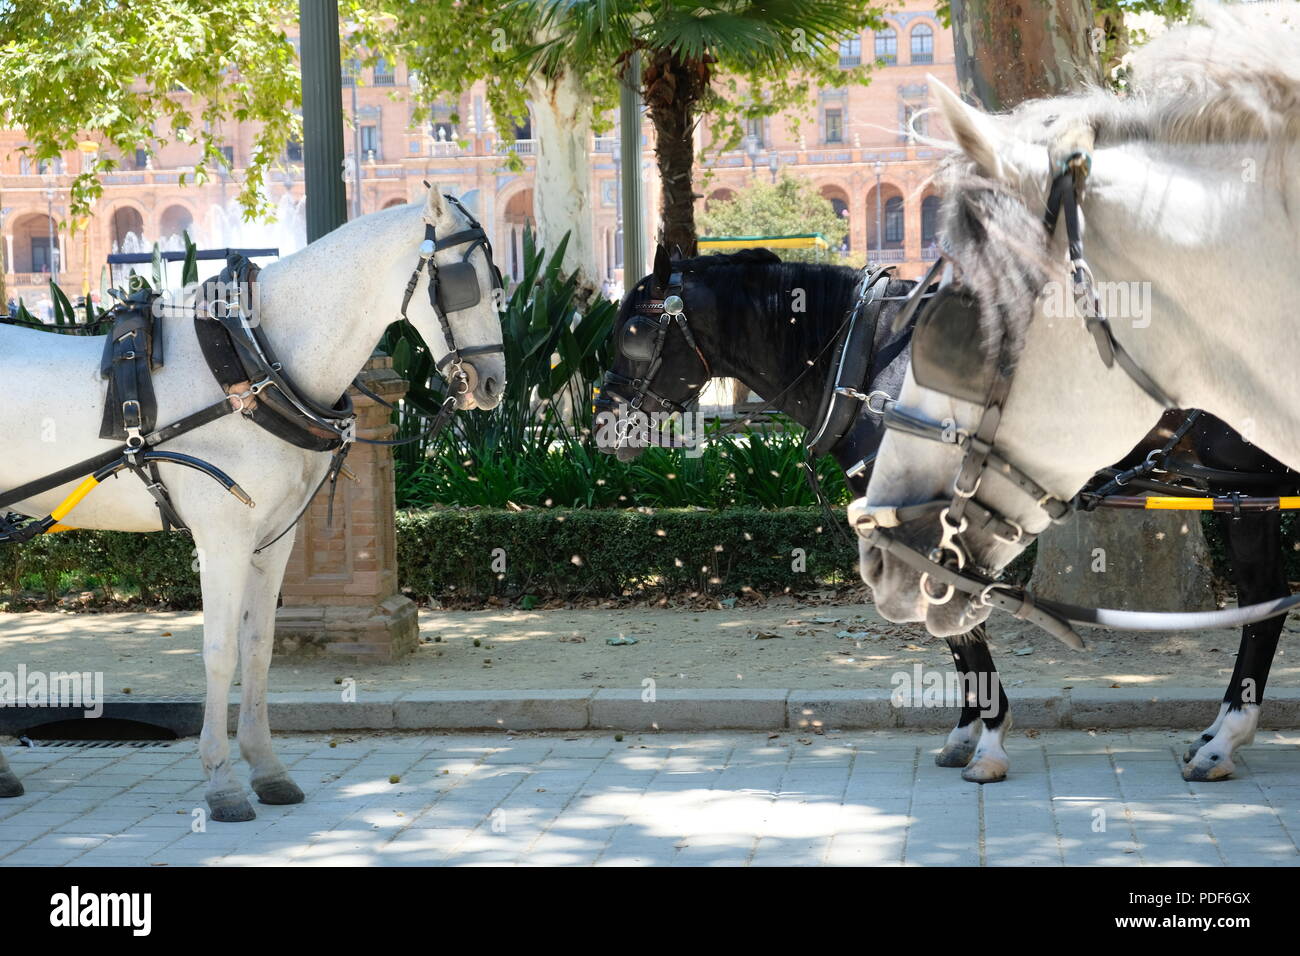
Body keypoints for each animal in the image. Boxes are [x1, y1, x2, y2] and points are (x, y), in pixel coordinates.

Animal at [0, 186, 506, 820]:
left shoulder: (273, 539)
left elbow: (258, 649)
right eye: (463, 281)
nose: (492, 383)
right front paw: (221, 781)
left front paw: (266, 769)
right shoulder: (223, 540)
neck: (255, 363)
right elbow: (219, 652)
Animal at [602, 242, 1295, 783]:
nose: (603, 423)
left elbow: (961, 626)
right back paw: (1221, 734)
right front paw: (967, 731)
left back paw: (1225, 739)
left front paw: (988, 741)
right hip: (1246, 498)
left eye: (633, 330)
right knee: (1264, 604)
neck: (875, 357)